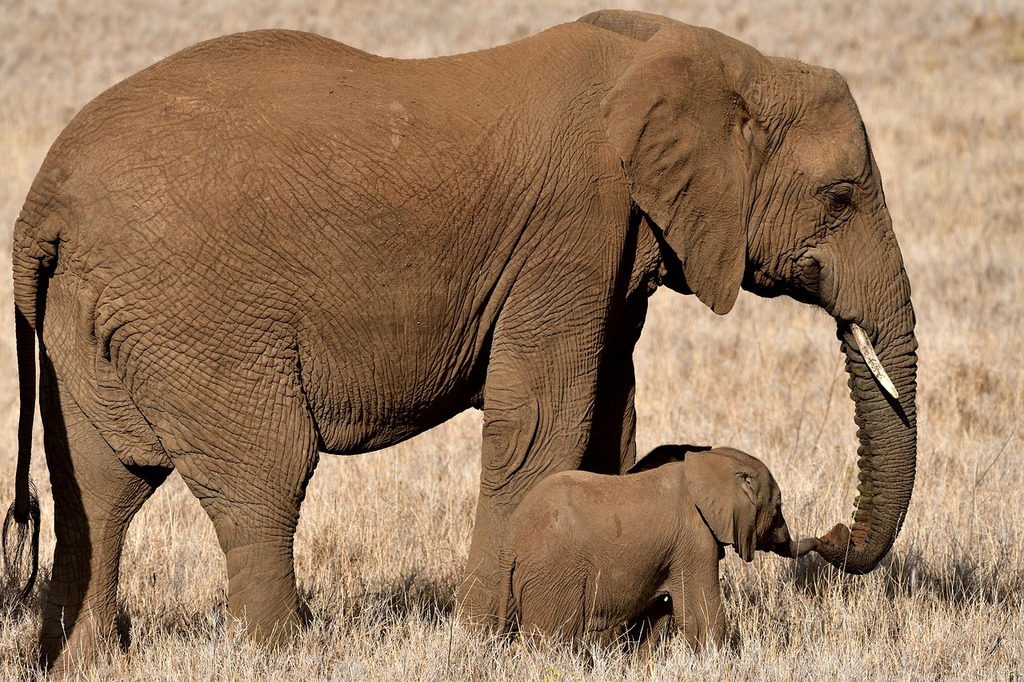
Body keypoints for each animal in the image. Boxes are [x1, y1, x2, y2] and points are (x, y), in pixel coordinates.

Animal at [495, 444, 815, 651]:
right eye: (778, 507)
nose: (822, 541)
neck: (705, 463)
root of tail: (511, 544)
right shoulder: (694, 539)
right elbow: (702, 618)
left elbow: (657, 618)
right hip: (554, 576)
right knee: (552, 640)